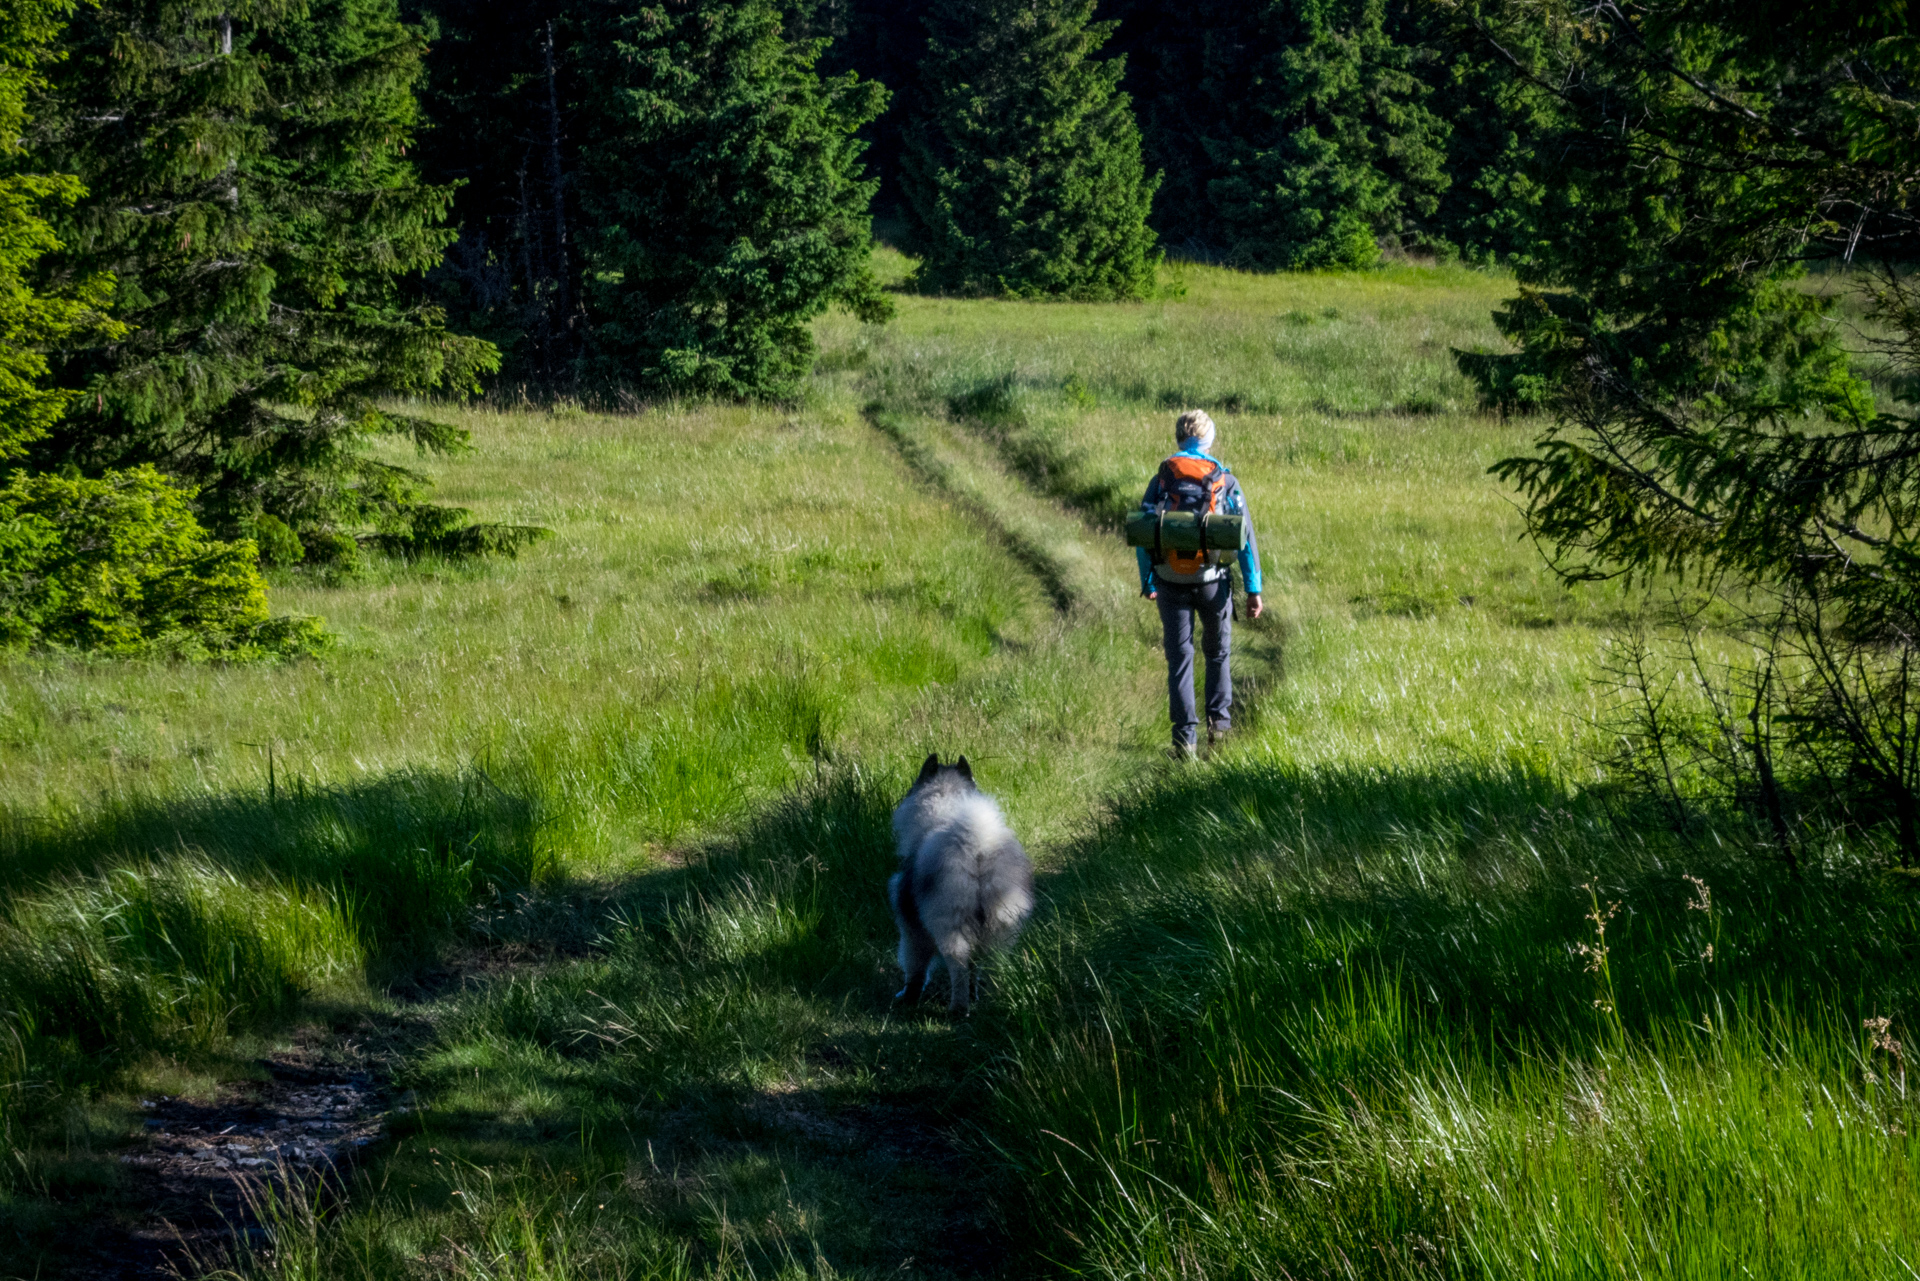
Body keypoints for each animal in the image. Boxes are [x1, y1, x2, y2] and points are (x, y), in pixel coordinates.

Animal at [887, 752, 1036, 1014]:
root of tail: (977, 845)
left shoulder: (912, 927)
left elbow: (915, 967)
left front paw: (908, 996)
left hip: (951, 922)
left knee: (958, 966)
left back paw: (958, 1009)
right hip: (1001, 926)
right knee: (992, 964)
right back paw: (996, 1000)